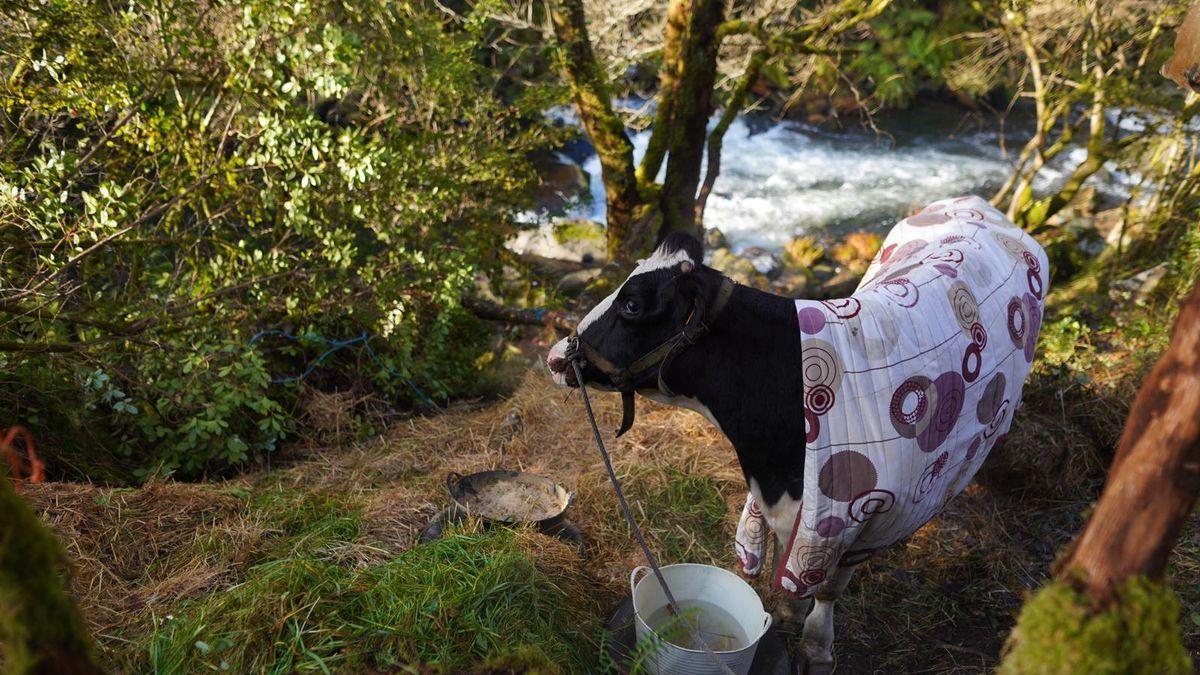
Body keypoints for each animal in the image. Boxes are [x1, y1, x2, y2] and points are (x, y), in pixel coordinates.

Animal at [549, 194, 1046, 667]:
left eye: (632, 304)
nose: (556, 355)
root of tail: (979, 204)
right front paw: (788, 613)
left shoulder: (862, 516)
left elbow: (827, 587)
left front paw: (815, 647)